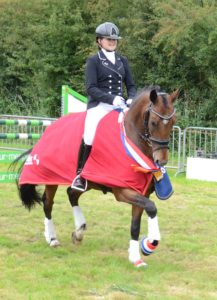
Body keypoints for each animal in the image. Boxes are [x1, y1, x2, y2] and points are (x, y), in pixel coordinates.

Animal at [14, 86, 179, 268]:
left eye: (173, 122)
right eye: (154, 122)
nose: (161, 161)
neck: (131, 141)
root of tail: (50, 128)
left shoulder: (142, 192)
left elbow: (137, 223)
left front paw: (136, 257)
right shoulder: (123, 191)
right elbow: (151, 207)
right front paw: (150, 243)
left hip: (88, 183)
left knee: (72, 194)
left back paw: (79, 231)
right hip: (50, 177)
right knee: (48, 203)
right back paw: (52, 238)